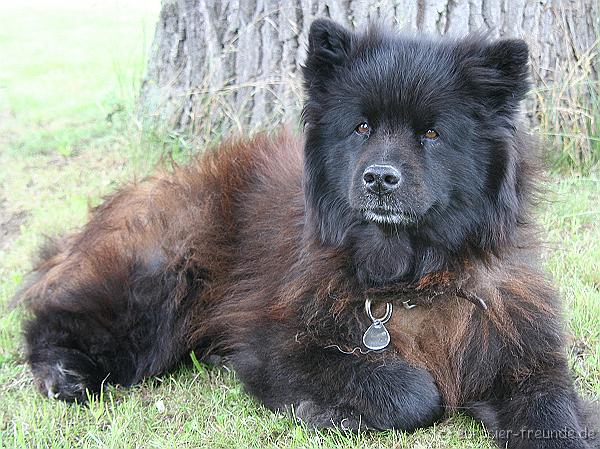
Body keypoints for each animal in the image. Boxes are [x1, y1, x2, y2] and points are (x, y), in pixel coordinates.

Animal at [17, 18, 596, 448]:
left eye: (432, 133)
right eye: (361, 127)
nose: (379, 177)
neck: (412, 282)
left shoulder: (522, 354)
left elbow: (553, 412)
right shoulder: (279, 346)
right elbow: (409, 389)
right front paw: (329, 412)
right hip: (161, 279)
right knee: (52, 321)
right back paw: (64, 373)